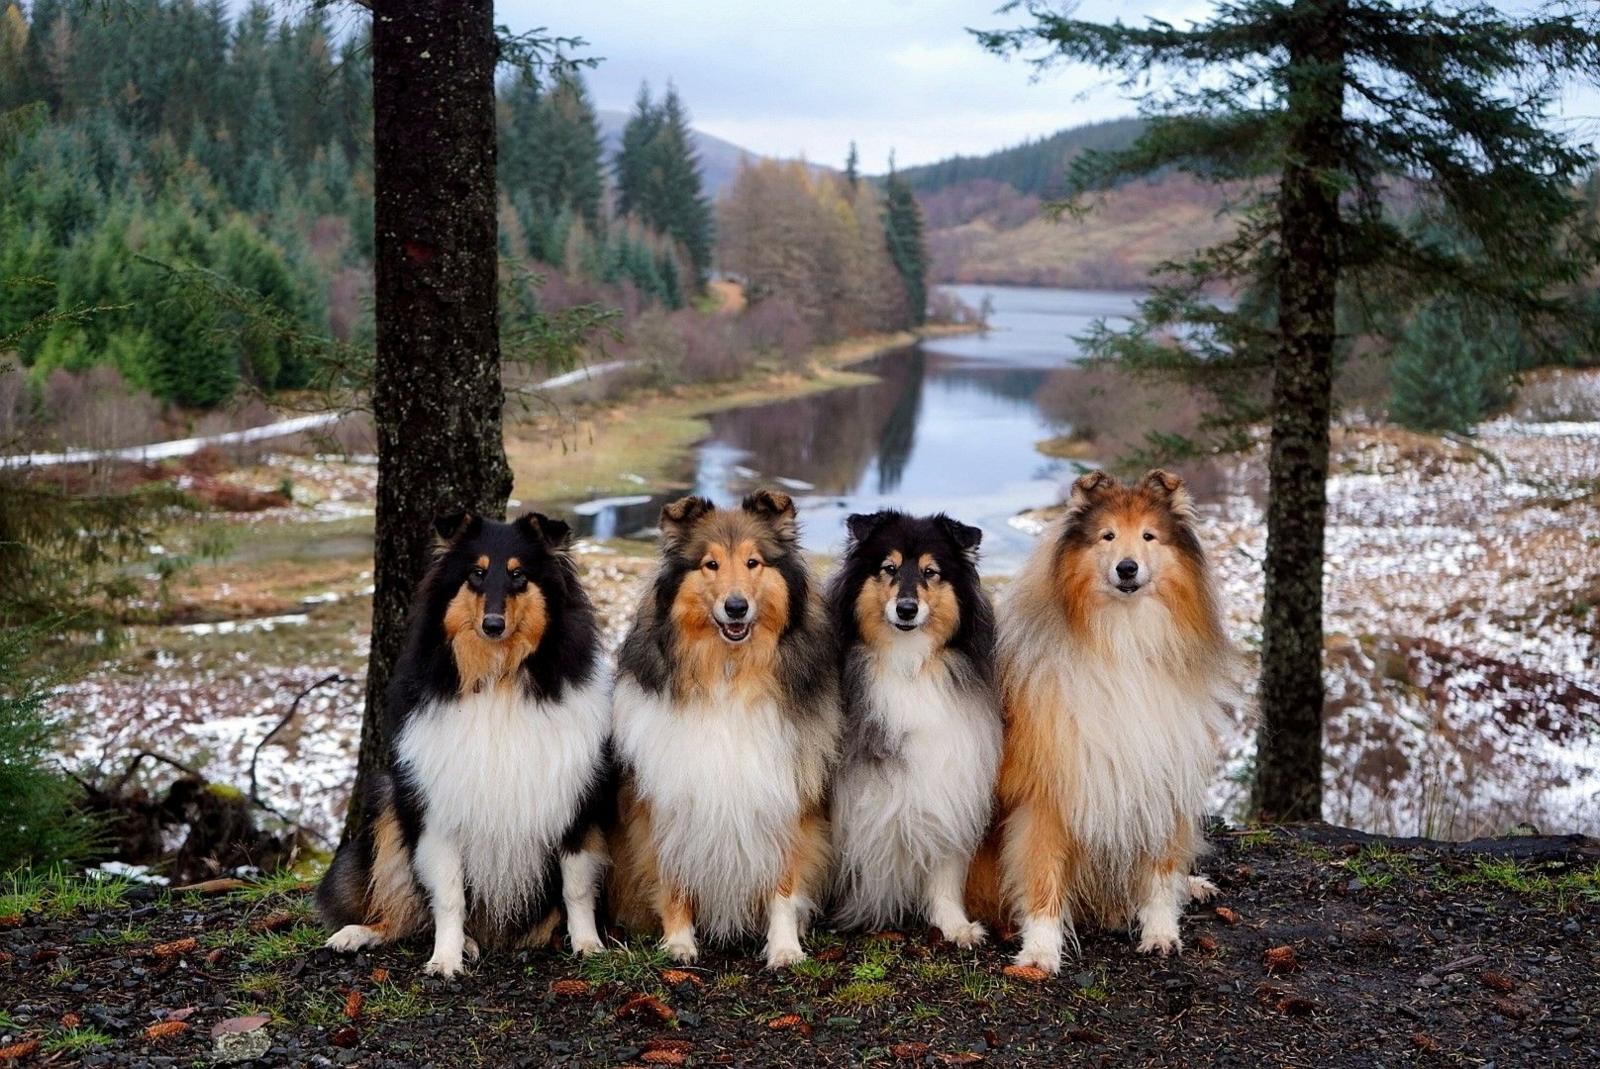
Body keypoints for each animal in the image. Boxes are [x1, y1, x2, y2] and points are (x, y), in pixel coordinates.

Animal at [315, 512, 608, 972]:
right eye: (476, 574)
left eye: (519, 575)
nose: (493, 625)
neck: (498, 677)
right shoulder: (440, 810)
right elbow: (449, 896)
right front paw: (445, 959)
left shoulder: (575, 805)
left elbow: (576, 886)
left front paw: (588, 944)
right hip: (389, 801)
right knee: (402, 912)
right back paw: (360, 934)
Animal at [608, 492, 844, 966]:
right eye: (710, 564)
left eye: (753, 562)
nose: (736, 608)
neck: (728, 671)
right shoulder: (666, 801)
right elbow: (672, 878)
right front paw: (679, 943)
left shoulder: (787, 798)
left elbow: (784, 884)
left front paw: (785, 948)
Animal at [832, 508, 992, 940]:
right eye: (888, 568)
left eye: (930, 572)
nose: (906, 609)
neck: (907, 664)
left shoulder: (948, 776)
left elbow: (945, 864)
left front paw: (954, 925)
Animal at [985, 470, 1235, 972]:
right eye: (1107, 536)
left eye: (1149, 536)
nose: (1127, 569)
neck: (1124, 639)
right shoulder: (1047, 794)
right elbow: (1042, 876)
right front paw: (1039, 952)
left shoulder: (1160, 776)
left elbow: (1160, 873)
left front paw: (1161, 932)